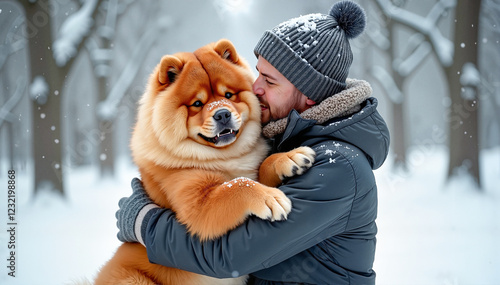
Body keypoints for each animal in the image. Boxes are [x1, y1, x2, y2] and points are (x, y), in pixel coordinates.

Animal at [93, 38, 316, 284]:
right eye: (197, 104)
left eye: (228, 95)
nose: (222, 114)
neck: (225, 157)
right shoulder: (197, 204)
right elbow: (236, 185)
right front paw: (270, 198)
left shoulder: (251, 169)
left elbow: (259, 169)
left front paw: (290, 157)